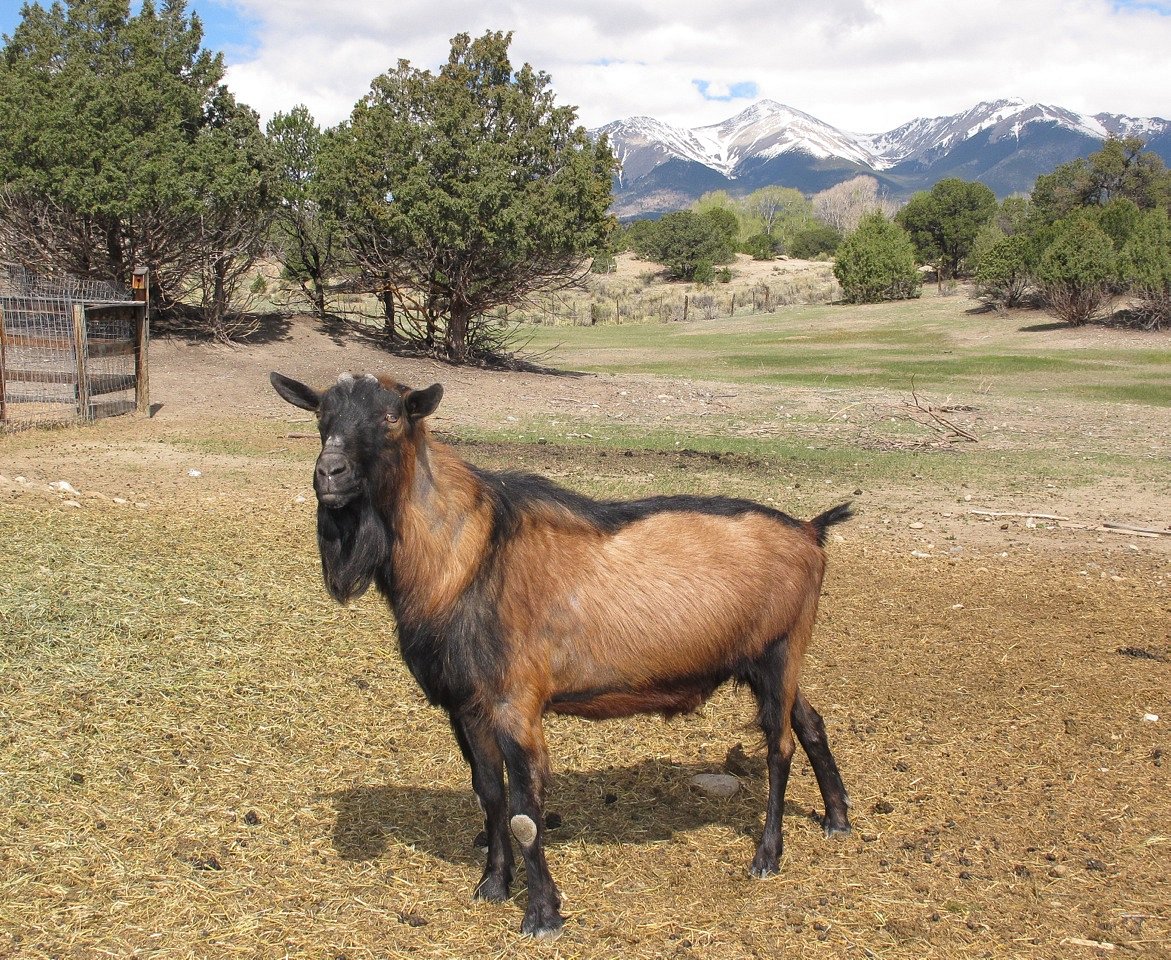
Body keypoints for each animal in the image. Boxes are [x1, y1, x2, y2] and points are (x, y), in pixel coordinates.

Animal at [268, 369, 852, 936]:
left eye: (392, 416)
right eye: (321, 415)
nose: (330, 474)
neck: (468, 554)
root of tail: (809, 531)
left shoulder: (516, 701)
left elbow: (525, 813)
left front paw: (543, 915)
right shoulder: (468, 704)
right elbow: (489, 795)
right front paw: (493, 884)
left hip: (780, 652)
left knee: (779, 747)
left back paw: (767, 855)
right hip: (765, 661)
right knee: (810, 721)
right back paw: (838, 817)